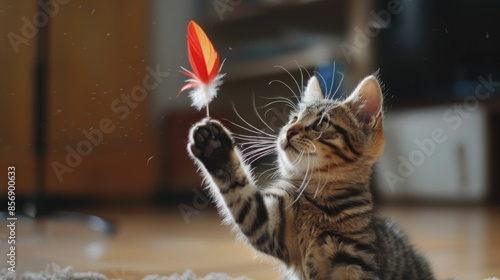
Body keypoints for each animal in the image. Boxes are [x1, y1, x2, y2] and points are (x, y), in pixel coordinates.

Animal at [187, 75, 434, 280]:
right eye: (293, 118)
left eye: (321, 123)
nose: (288, 131)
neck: (317, 196)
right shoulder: (268, 226)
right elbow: (239, 192)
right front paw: (214, 148)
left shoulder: (354, 260)